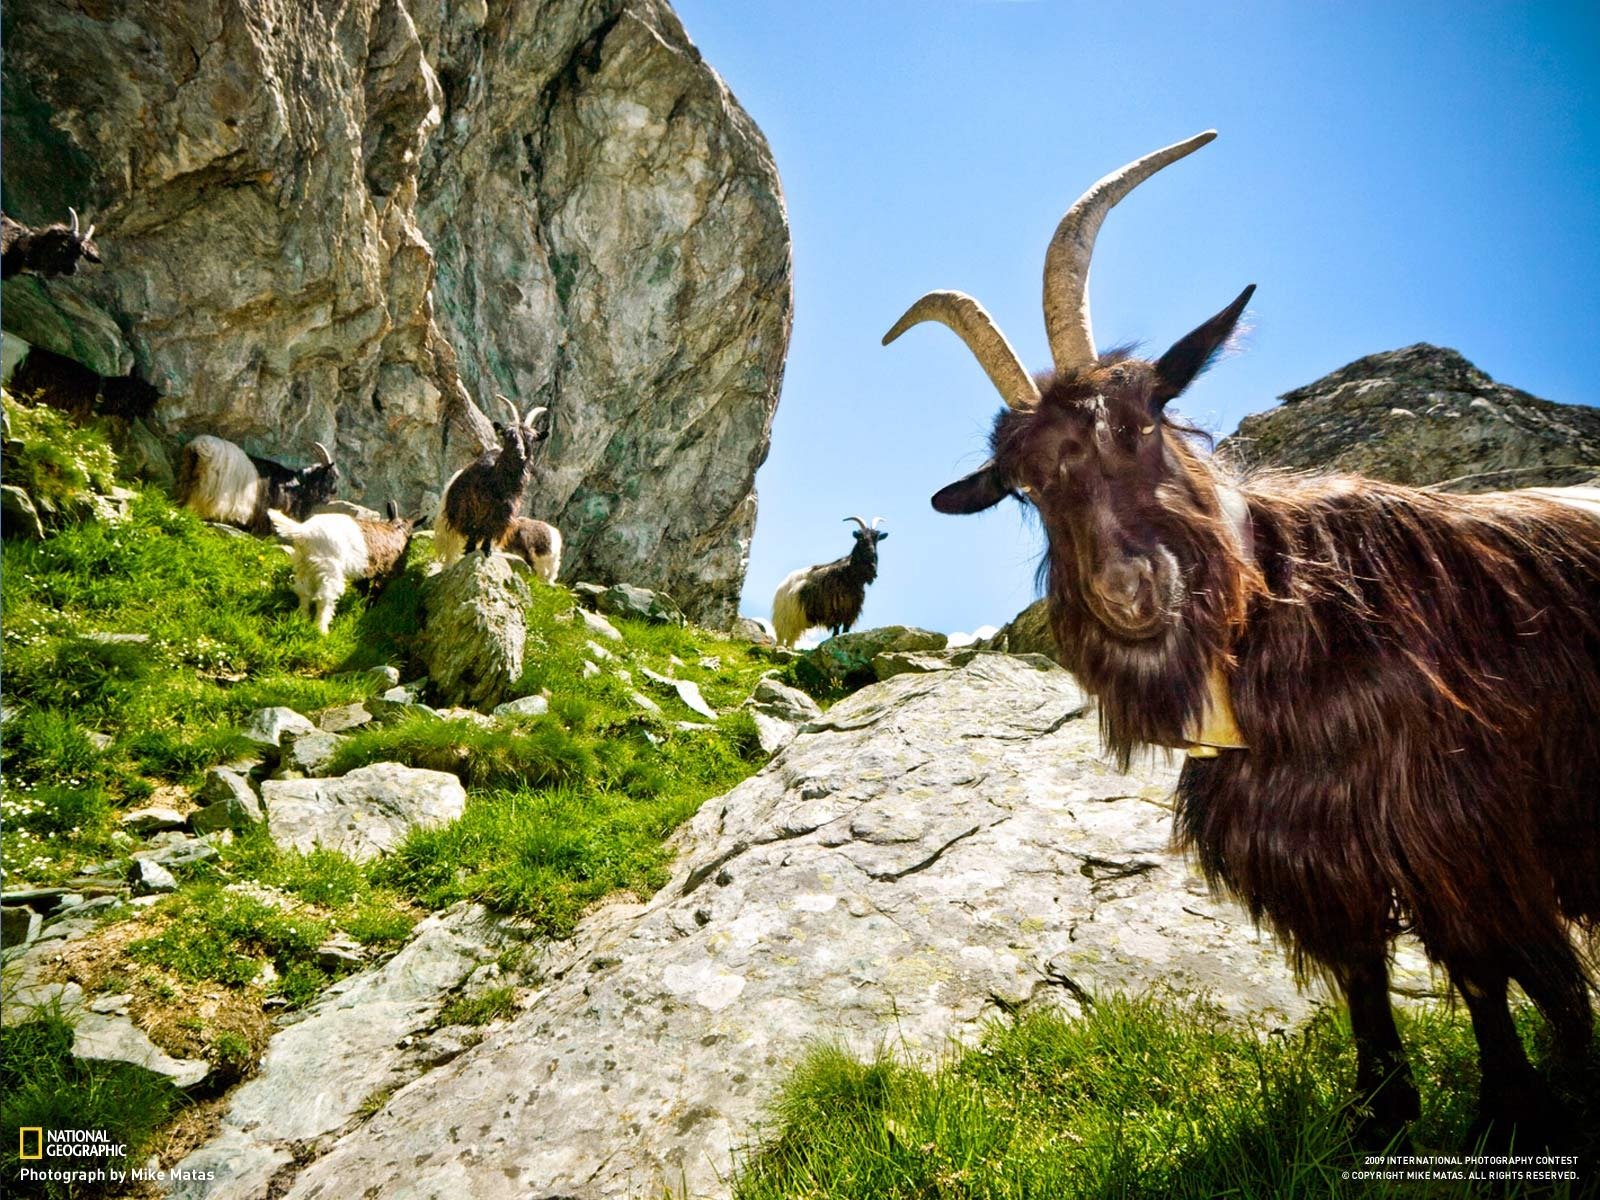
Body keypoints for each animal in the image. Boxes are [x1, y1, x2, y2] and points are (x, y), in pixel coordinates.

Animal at [176, 435, 339, 536]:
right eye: (330, 478)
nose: (329, 498)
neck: (296, 484)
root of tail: (198, 447)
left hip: (188, 478)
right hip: (208, 487)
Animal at [268, 502, 415, 634]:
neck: (396, 529)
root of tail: (304, 532)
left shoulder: (364, 573)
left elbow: (364, 589)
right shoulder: (384, 572)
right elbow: (374, 591)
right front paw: (368, 609)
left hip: (304, 566)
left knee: (304, 592)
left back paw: (304, 619)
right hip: (329, 569)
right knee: (324, 598)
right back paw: (322, 630)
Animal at [434, 394, 550, 565]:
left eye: (531, 438)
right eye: (507, 435)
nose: (520, 454)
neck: (498, 483)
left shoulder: (502, 514)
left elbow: (490, 531)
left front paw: (487, 550)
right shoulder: (474, 509)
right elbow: (474, 531)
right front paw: (470, 550)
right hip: (450, 522)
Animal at [771, 517, 888, 647]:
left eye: (876, 539)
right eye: (861, 538)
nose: (871, 554)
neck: (848, 575)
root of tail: (782, 585)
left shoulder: (850, 611)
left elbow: (845, 629)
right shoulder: (833, 609)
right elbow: (836, 629)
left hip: (797, 622)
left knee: (791, 641)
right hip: (785, 620)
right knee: (781, 639)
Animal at [886, 131, 1600, 1137]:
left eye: (1142, 421)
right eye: (1025, 486)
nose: (1129, 592)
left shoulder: (1462, 832)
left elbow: (1486, 974)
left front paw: (1511, 1114)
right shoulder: (1317, 850)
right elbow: (1363, 973)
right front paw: (1382, 1114)